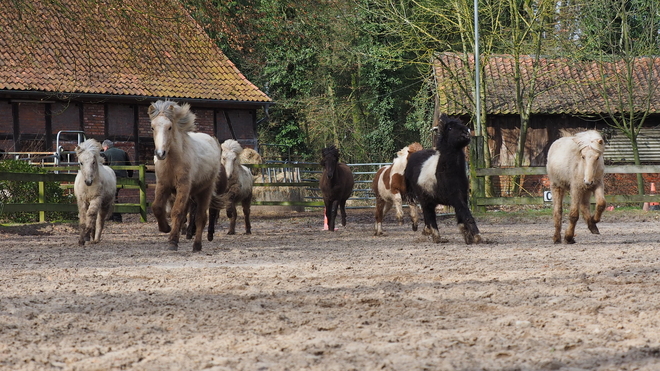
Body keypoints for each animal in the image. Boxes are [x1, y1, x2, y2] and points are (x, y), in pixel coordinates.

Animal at [402, 115, 480, 246]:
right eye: (450, 128)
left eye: (462, 124)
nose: (466, 132)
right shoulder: (455, 197)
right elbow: (466, 215)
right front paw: (477, 236)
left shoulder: (462, 196)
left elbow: (461, 216)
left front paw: (468, 236)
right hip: (423, 197)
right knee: (428, 214)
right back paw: (436, 236)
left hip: (429, 198)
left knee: (428, 215)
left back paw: (428, 232)